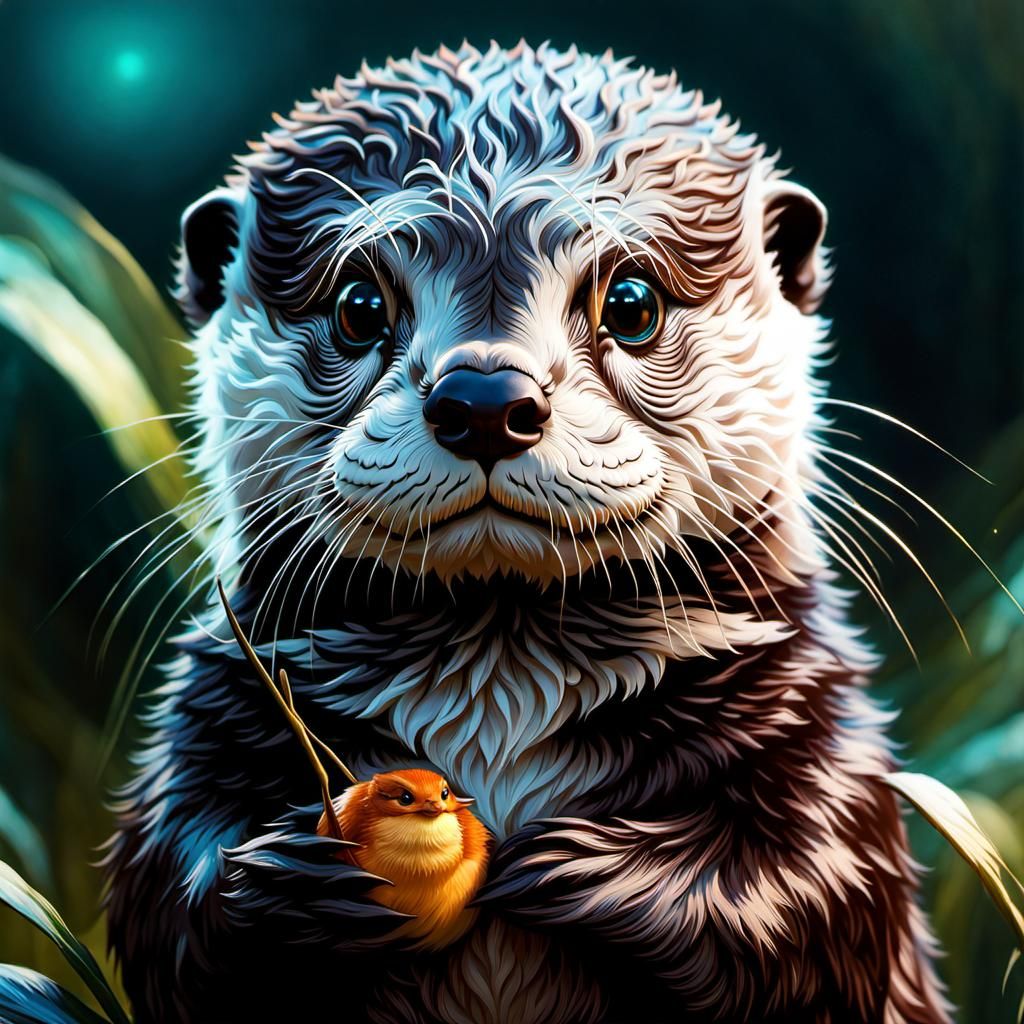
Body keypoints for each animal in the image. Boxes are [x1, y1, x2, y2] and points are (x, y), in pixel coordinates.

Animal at [104, 42, 952, 1023]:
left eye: (632, 303)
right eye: (359, 306)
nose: (483, 399)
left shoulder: (812, 722)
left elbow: (816, 892)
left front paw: (577, 869)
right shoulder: (214, 708)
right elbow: (169, 891)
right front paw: (297, 882)